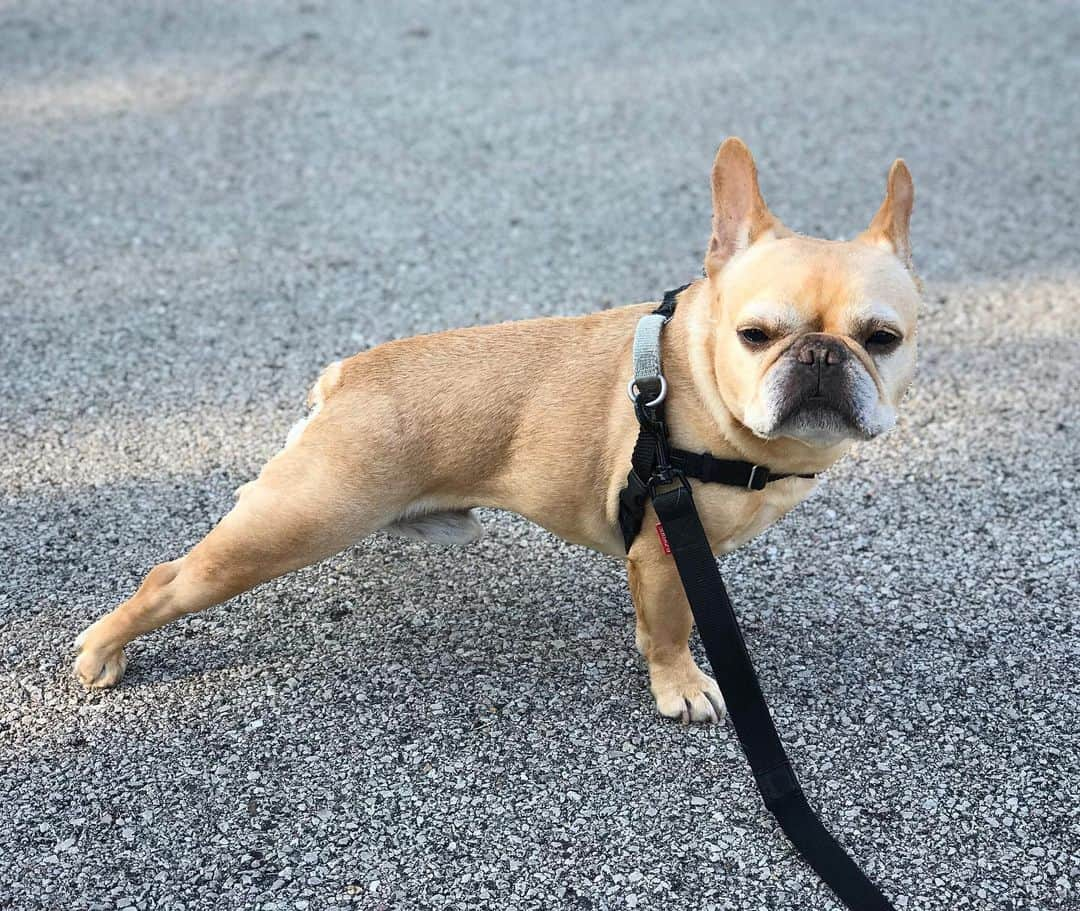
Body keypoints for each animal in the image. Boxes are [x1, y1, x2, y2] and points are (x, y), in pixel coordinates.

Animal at [76, 139, 920, 721]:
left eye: (883, 338)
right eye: (756, 335)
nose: (821, 355)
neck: (695, 382)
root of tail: (349, 374)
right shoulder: (662, 547)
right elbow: (672, 628)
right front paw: (679, 684)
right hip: (299, 521)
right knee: (169, 578)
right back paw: (100, 650)